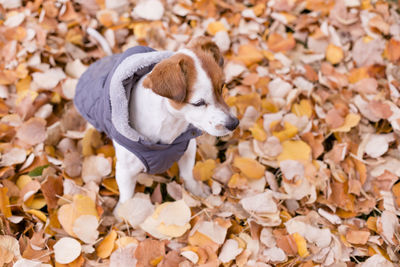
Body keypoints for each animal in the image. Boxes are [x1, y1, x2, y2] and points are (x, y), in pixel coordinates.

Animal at [74, 37, 239, 211]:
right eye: (198, 103)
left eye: (222, 87)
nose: (234, 123)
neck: (170, 122)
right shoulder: (125, 171)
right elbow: (127, 197)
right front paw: (123, 212)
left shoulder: (188, 149)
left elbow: (188, 174)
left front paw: (196, 190)